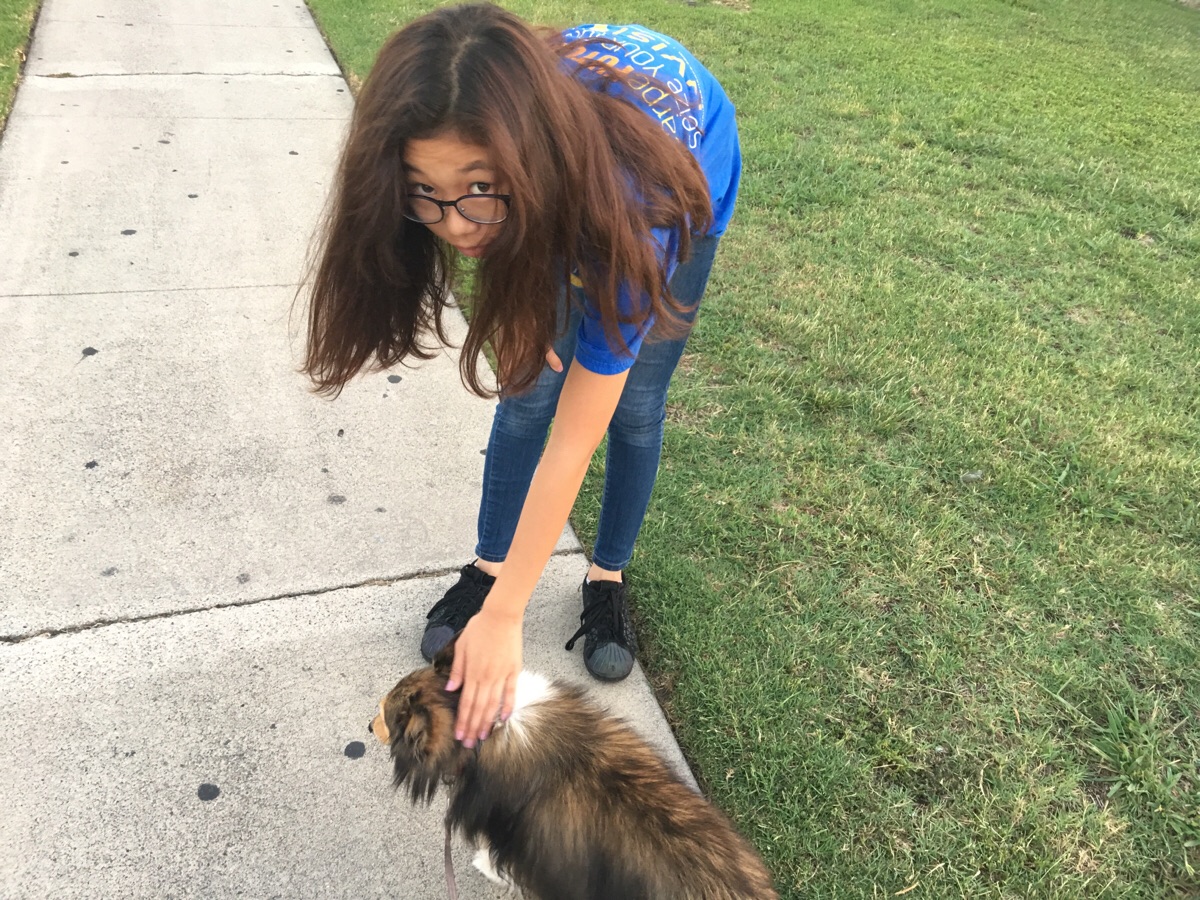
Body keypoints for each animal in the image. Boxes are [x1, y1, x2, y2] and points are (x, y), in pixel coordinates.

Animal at [369, 638, 778, 900]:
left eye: (385, 713)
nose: (368, 727)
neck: (488, 725)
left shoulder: (505, 831)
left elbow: (495, 855)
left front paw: (484, 866)